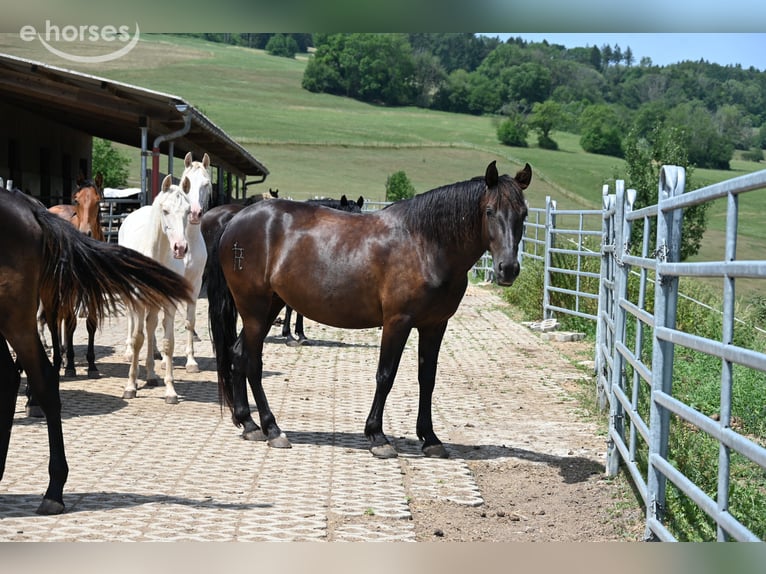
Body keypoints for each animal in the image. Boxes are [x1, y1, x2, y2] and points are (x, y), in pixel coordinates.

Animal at [118, 175, 192, 404]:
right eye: (165, 211)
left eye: (188, 211)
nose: (180, 248)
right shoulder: (139, 301)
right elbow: (137, 340)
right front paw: (130, 386)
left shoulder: (168, 303)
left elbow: (167, 343)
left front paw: (170, 390)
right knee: (136, 328)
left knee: (150, 329)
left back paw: (151, 375)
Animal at [206, 161, 531, 459]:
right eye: (489, 211)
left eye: (523, 214)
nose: (508, 269)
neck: (424, 243)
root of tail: (235, 219)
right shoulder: (397, 322)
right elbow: (385, 375)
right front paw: (377, 436)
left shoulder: (435, 324)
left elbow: (427, 378)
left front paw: (430, 438)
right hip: (254, 310)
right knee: (252, 362)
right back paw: (272, 428)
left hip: (268, 307)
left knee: (238, 354)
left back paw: (248, 423)